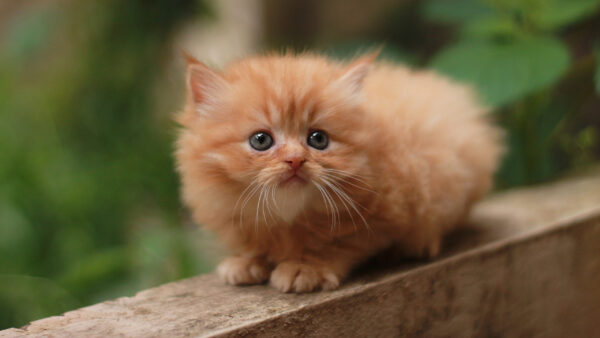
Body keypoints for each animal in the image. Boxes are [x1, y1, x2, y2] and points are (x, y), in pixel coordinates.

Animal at [176, 50, 504, 294]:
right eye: (261, 140)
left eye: (318, 139)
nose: (295, 160)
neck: (288, 218)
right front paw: (246, 259)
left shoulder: (387, 212)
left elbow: (340, 243)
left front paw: (306, 266)